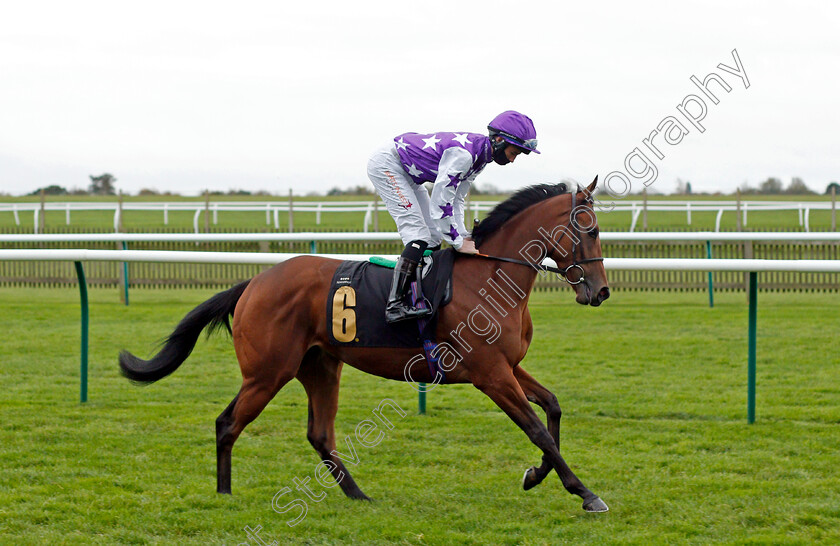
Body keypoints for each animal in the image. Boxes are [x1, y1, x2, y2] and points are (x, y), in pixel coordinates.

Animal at [120, 177, 612, 510]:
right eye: (589, 229)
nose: (601, 291)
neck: (490, 276)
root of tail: (254, 283)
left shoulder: (508, 366)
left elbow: (552, 408)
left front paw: (535, 476)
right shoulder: (490, 374)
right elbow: (536, 428)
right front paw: (586, 493)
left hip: (320, 366)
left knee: (319, 434)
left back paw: (357, 494)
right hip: (267, 371)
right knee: (228, 423)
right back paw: (224, 494)